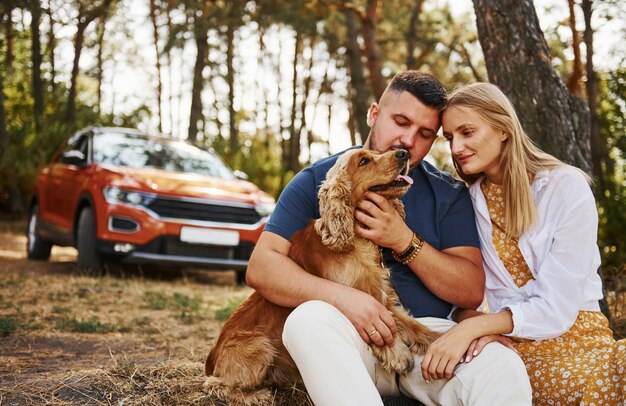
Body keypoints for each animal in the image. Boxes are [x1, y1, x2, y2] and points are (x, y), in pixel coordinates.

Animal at [202, 149, 436, 406]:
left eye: (378, 153)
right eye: (364, 161)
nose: (403, 152)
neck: (356, 239)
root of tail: (212, 357)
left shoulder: (384, 299)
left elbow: (414, 327)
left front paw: (440, 342)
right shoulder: (359, 303)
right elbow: (383, 330)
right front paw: (398, 354)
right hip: (260, 347)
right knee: (215, 384)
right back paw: (257, 396)